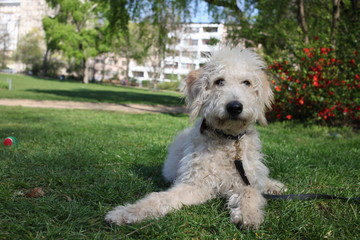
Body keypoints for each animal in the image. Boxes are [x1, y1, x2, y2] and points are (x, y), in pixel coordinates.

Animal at [105, 46, 286, 229]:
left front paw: (249, 214)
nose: (235, 107)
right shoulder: (196, 184)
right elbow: (161, 198)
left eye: (247, 83)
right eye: (219, 81)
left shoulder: (245, 178)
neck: (228, 140)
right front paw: (127, 212)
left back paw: (274, 185)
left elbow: (250, 191)